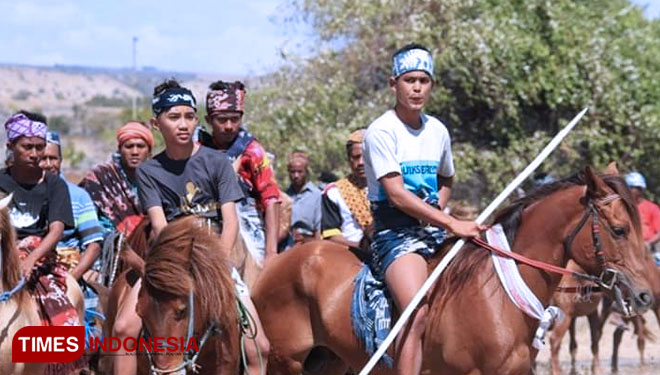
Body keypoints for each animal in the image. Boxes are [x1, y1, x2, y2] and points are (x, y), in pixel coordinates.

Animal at [251, 167, 656, 375]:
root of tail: (273, 265)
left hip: (329, 361)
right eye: (620, 229)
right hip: (284, 361)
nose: (647, 294)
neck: (500, 298)